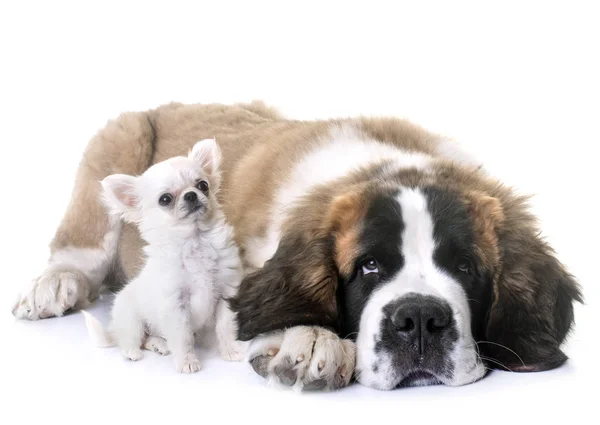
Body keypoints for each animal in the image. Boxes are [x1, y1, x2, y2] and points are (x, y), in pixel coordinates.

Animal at [82, 138, 246, 372]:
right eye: (165, 199)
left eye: (202, 185)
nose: (191, 195)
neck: (195, 241)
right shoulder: (175, 307)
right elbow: (183, 337)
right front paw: (187, 362)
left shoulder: (226, 294)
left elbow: (225, 327)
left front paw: (230, 351)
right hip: (131, 318)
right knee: (131, 337)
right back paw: (132, 352)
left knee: (148, 338)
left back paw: (159, 345)